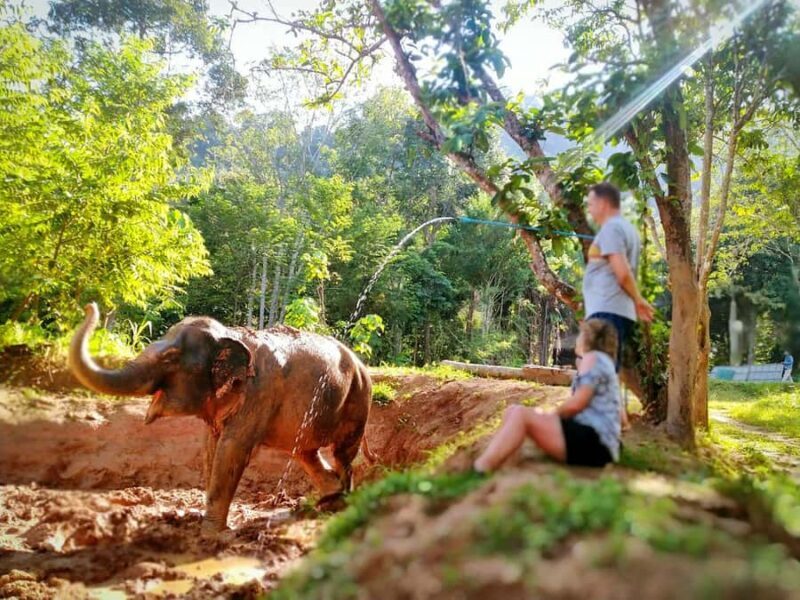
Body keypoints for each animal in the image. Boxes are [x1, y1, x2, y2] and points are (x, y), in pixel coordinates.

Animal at [69, 303, 375, 534]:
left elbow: (231, 449)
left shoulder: (260, 392)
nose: (90, 306)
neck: (230, 334)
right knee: (305, 453)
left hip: (359, 398)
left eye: (170, 358)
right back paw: (327, 499)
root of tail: (361, 365)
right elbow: (210, 447)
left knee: (341, 453)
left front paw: (212, 533)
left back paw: (338, 503)